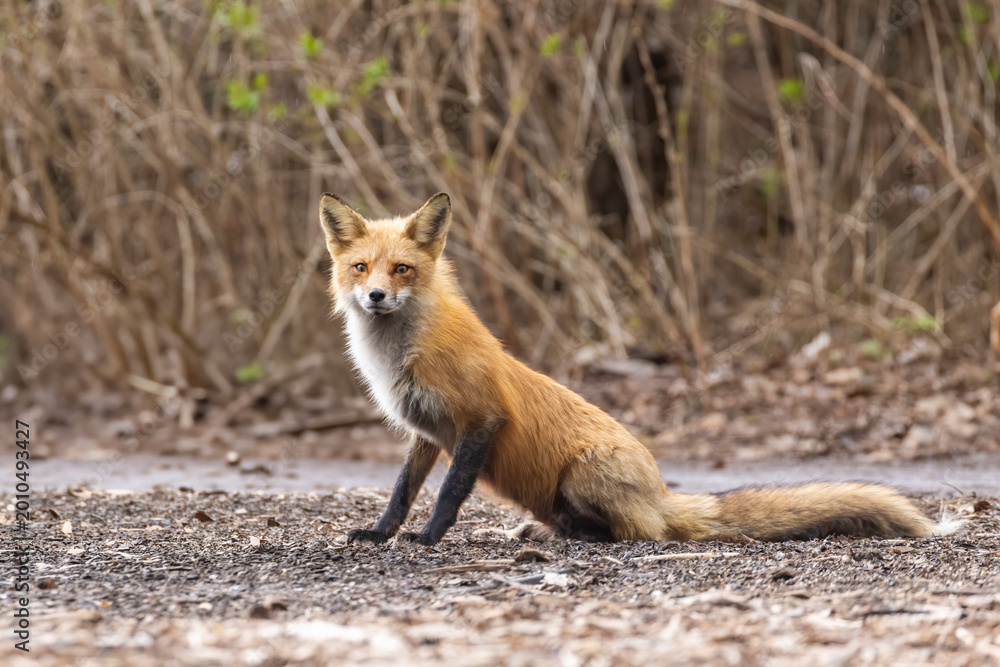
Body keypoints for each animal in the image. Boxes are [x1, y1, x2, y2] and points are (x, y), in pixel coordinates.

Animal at [318, 192, 961, 545]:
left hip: (583, 476)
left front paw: (429, 538)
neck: (403, 352)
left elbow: (450, 494)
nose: (375, 296)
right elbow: (402, 491)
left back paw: (583, 535)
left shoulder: (481, 419)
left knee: (643, 533)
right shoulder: (427, 431)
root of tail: (660, 492)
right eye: (360, 267)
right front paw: (381, 533)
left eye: (401, 269)